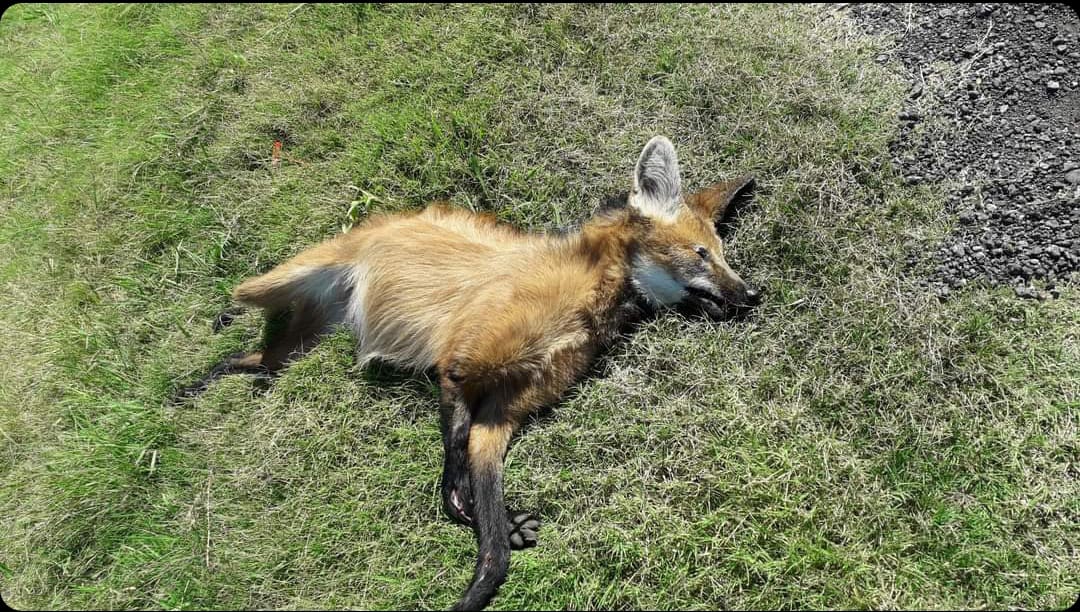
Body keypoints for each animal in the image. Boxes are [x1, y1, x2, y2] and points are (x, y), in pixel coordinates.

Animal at [185, 136, 760, 608]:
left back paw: (203, 383)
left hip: (310, 340)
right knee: (241, 295)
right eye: (702, 254)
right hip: (285, 280)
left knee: (264, 361)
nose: (753, 294)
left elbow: (485, 502)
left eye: (724, 256)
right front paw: (477, 540)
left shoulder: (502, 410)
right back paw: (209, 345)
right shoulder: (460, 368)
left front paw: (496, 536)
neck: (595, 294)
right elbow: (456, 473)